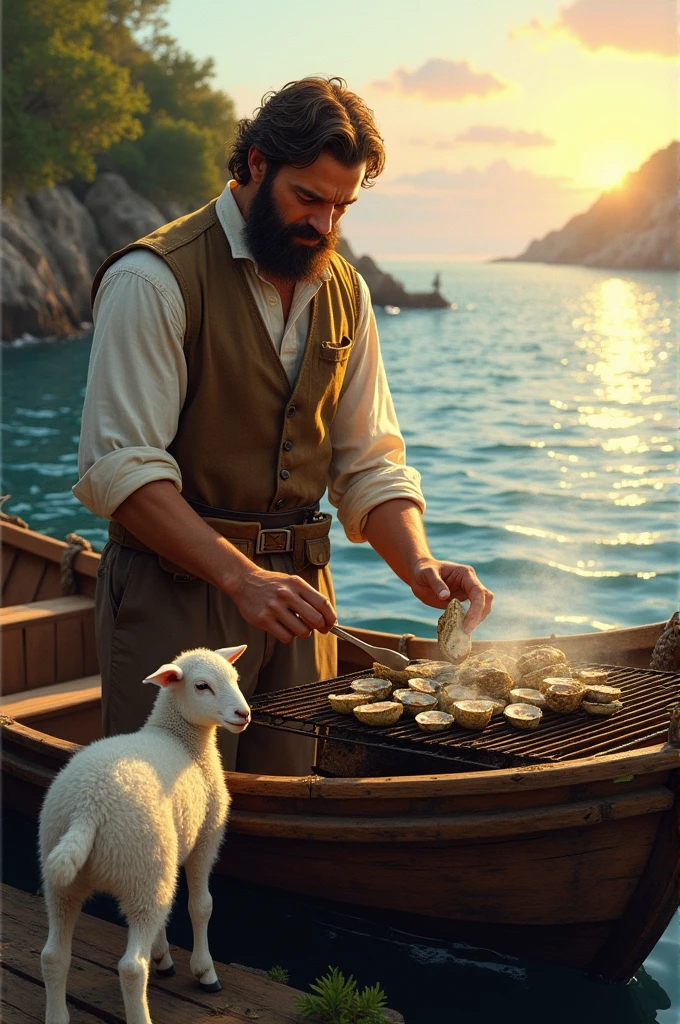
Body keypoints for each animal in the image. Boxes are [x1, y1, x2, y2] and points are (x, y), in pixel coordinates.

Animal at [37, 643, 249, 1024]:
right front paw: (204, 971)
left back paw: (57, 1015)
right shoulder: (205, 837)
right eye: (202, 686)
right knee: (131, 967)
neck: (178, 737)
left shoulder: (174, 844)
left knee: (52, 956)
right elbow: (201, 906)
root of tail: (89, 808)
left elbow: (168, 916)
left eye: (235, 678)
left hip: (62, 875)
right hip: (143, 869)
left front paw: (162, 955)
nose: (244, 714)